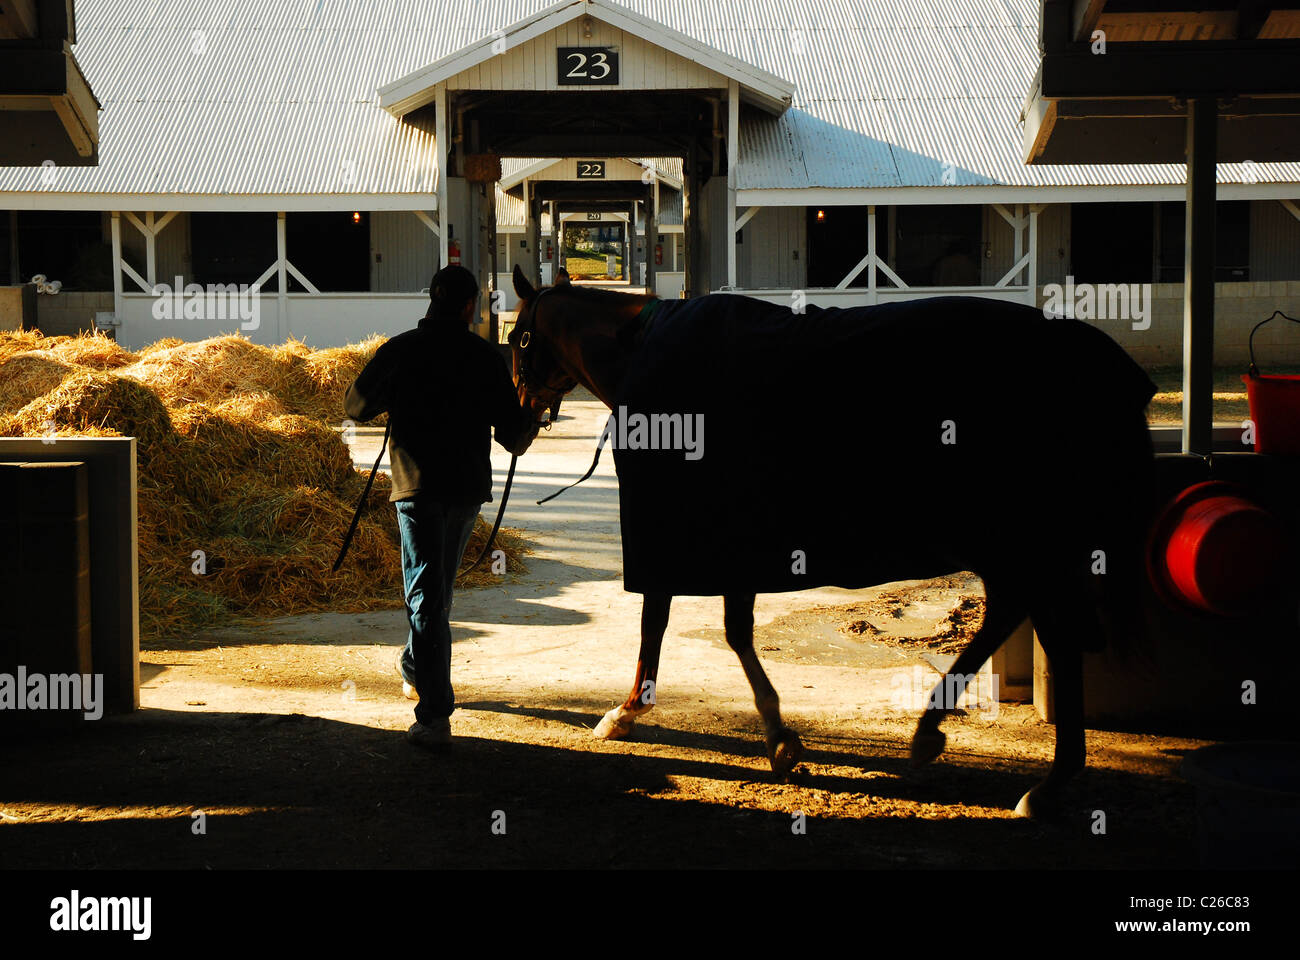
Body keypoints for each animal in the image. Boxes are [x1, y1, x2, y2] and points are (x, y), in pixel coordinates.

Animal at [506, 264, 1159, 816]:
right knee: (1015, 615)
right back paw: (947, 737)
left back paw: (1038, 780)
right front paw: (780, 738)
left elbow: (660, 624)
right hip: (1015, 543)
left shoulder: (676, 536)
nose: (510, 431)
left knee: (1048, 628)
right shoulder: (732, 545)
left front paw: (626, 712)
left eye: (516, 337)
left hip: (1025, 541)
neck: (642, 352)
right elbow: (735, 634)